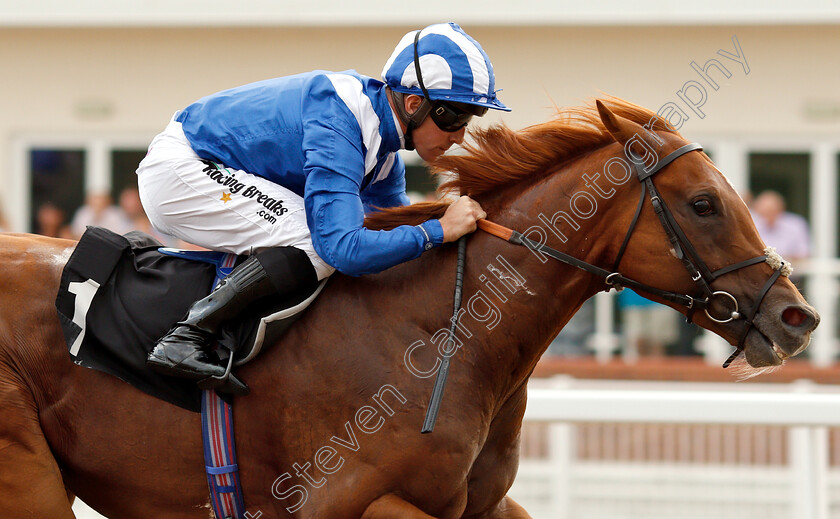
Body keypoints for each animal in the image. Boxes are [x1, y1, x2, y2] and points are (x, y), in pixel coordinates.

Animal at [0, 99, 812, 516]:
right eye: (704, 203)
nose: (797, 317)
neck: (441, 334)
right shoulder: (348, 503)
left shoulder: (480, 506)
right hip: (30, 479)